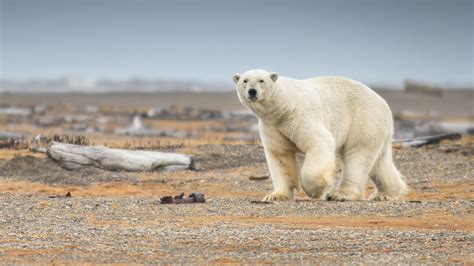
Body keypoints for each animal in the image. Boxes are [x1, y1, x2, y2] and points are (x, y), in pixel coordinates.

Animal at [233, 69, 408, 202]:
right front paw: (276, 195)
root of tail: (384, 104)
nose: (252, 91)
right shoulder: (272, 126)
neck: (282, 107)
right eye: (245, 80)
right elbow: (280, 155)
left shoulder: (300, 116)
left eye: (261, 80)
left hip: (363, 120)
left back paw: (340, 194)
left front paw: (315, 190)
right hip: (376, 128)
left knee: (357, 154)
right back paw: (385, 194)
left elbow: (319, 142)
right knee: (379, 162)